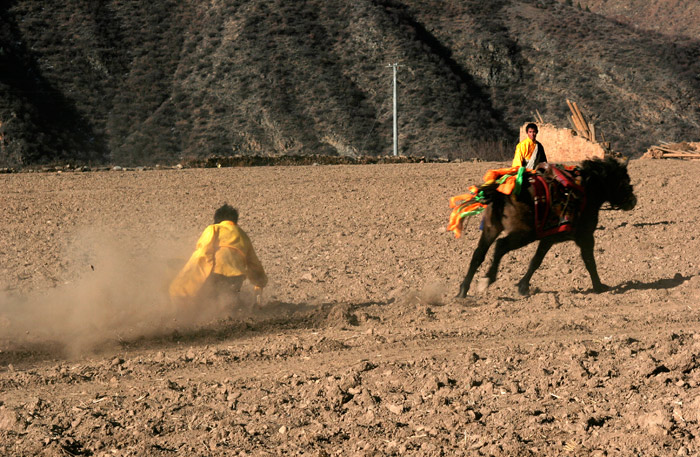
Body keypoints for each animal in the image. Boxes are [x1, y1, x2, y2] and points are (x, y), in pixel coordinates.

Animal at [456, 157, 636, 298]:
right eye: (625, 181)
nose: (633, 201)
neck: (587, 190)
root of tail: (501, 192)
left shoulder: (549, 238)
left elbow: (536, 261)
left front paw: (523, 287)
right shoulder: (585, 237)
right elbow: (589, 261)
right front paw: (599, 286)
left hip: (491, 229)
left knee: (478, 255)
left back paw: (462, 291)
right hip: (523, 234)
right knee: (500, 246)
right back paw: (487, 279)